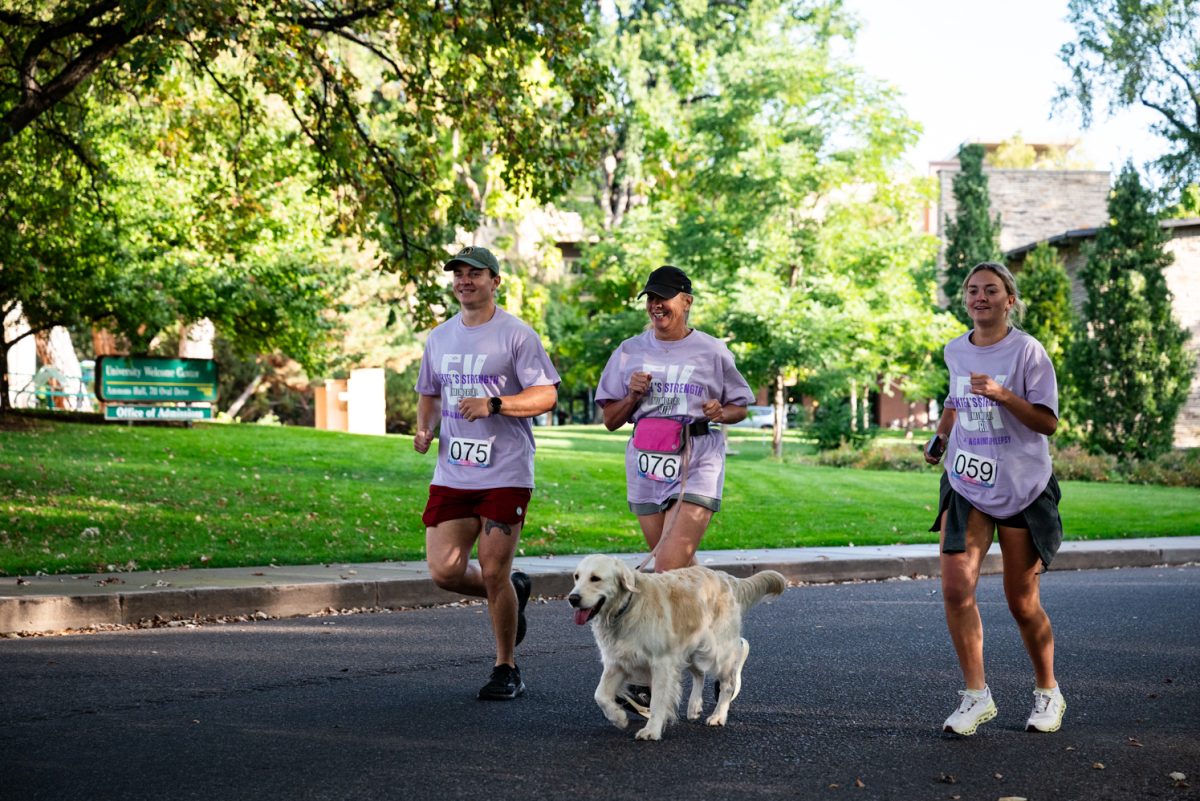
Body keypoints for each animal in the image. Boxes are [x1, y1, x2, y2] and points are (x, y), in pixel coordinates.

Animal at [571, 553, 787, 743]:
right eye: (576, 577)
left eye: (595, 578)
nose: (572, 598)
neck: (626, 608)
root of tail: (724, 577)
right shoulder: (617, 662)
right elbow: (600, 695)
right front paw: (619, 717)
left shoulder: (661, 663)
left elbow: (658, 700)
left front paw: (652, 730)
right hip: (690, 650)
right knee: (700, 674)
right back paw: (694, 706)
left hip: (716, 651)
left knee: (728, 680)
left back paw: (718, 715)